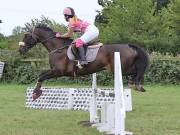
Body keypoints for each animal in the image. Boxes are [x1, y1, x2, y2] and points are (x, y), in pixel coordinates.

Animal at [17, 24, 149, 100]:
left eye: (26, 36)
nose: (20, 50)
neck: (57, 48)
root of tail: (129, 45)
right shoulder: (55, 71)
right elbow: (41, 75)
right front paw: (36, 92)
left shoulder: (58, 71)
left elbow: (41, 76)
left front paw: (35, 93)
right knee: (135, 72)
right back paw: (136, 84)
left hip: (120, 68)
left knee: (136, 71)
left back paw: (136, 84)